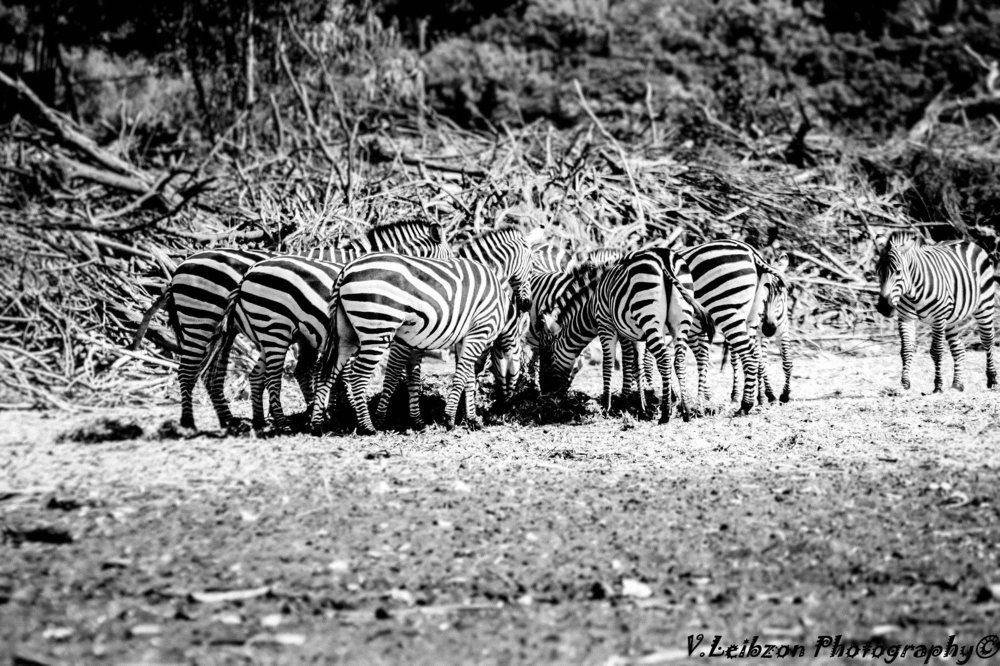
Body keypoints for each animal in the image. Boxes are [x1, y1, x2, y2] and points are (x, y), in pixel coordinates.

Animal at [131, 219, 448, 432]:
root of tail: (179, 268)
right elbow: (339, 373)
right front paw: (340, 414)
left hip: (222, 331)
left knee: (210, 375)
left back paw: (231, 421)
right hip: (200, 320)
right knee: (187, 372)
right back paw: (189, 422)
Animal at [312, 253, 510, 434]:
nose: (504, 406)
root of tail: (346, 269)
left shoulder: (465, 337)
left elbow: (468, 378)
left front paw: (472, 419)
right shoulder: (480, 330)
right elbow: (463, 375)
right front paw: (449, 419)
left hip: (345, 335)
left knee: (326, 374)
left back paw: (317, 425)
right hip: (378, 327)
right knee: (358, 376)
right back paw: (368, 427)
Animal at [538, 248, 713, 422]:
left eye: (548, 353)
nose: (545, 391)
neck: (591, 304)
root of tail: (664, 258)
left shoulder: (607, 325)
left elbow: (612, 364)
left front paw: (611, 406)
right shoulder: (636, 334)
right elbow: (637, 365)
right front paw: (641, 407)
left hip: (648, 316)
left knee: (665, 359)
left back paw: (665, 413)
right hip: (679, 322)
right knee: (679, 361)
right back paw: (686, 410)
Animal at [876, 232, 996, 392]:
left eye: (898, 272)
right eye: (878, 272)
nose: (884, 307)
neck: (912, 291)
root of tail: (966, 241)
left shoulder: (938, 318)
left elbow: (937, 351)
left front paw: (938, 385)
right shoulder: (905, 318)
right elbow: (906, 350)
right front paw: (905, 383)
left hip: (984, 306)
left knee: (987, 340)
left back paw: (992, 379)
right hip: (952, 318)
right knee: (959, 349)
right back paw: (957, 384)